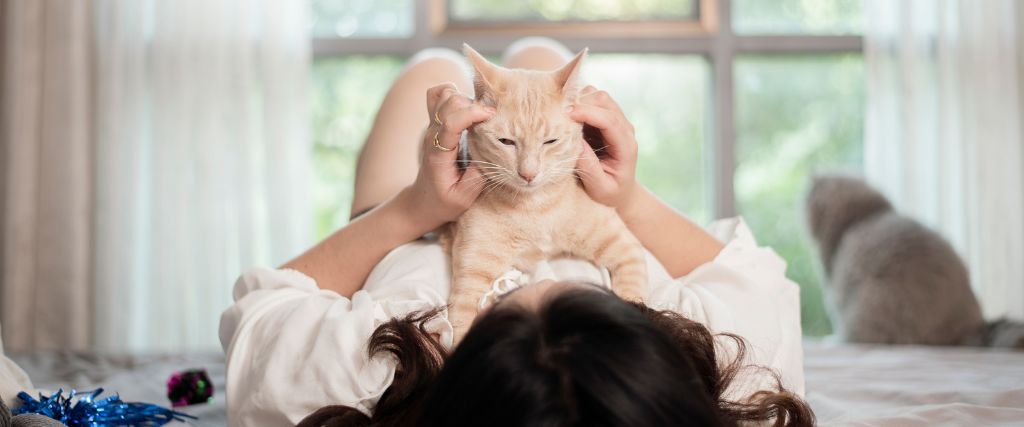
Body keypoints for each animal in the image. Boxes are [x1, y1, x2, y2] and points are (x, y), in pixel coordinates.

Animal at [444, 45, 643, 342]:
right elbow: (459, 327)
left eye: (550, 142)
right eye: (506, 142)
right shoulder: (471, 274)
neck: (536, 209)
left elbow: (634, 293)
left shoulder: (625, 248)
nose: (528, 173)